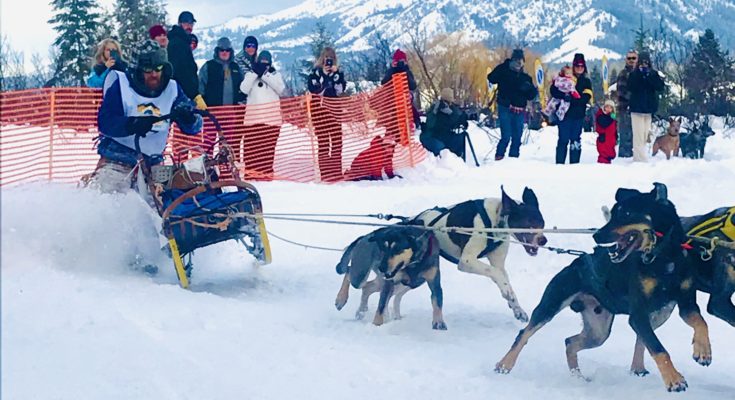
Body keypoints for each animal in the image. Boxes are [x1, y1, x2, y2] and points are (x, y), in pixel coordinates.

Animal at [406, 187, 547, 322]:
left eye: (542, 222)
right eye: (528, 222)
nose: (543, 240)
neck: (494, 220)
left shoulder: (498, 263)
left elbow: (503, 277)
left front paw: (517, 308)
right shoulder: (466, 261)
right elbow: (496, 272)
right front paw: (507, 292)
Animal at [495, 183, 711, 392]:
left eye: (626, 214)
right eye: (613, 213)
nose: (596, 235)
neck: (664, 258)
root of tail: (578, 260)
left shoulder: (686, 304)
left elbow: (701, 322)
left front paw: (703, 350)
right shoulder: (638, 315)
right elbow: (659, 348)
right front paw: (674, 380)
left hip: (601, 331)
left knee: (570, 342)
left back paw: (579, 377)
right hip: (551, 305)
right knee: (524, 334)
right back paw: (504, 365)